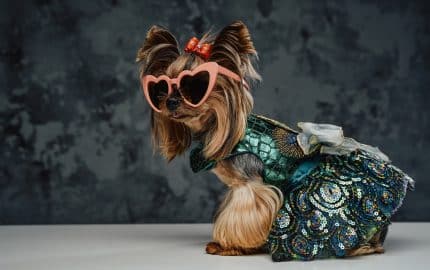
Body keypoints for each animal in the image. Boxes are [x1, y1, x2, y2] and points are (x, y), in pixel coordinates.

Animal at [137, 20, 414, 260]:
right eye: (161, 88)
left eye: (194, 86)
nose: (170, 101)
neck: (218, 129)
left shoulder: (250, 185)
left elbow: (241, 217)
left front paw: (231, 246)